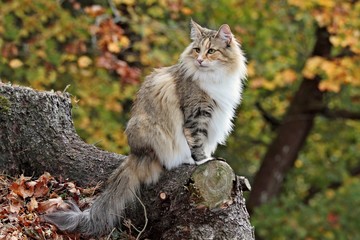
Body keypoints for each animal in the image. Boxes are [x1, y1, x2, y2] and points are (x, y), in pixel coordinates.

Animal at [44, 18, 248, 236]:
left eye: (211, 51)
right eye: (197, 50)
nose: (200, 60)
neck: (215, 77)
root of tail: (135, 154)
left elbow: (206, 143)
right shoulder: (197, 115)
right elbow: (197, 142)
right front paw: (204, 161)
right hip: (150, 129)